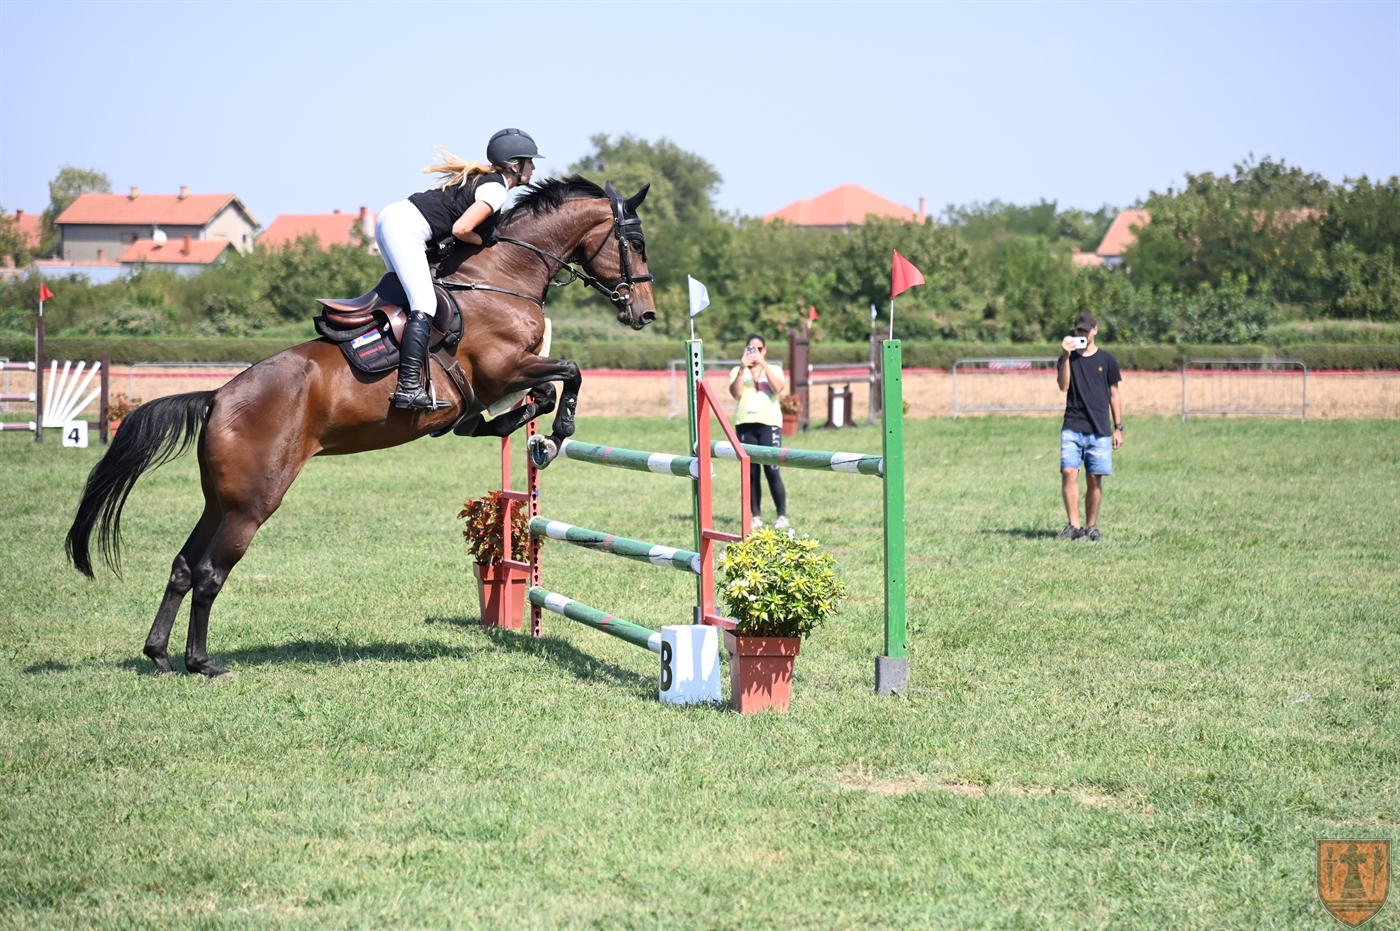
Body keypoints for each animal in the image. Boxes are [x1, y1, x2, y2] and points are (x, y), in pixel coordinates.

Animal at [65, 175, 656, 677]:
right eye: (637, 242)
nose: (645, 315)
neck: (500, 280)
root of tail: (217, 397)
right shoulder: (504, 369)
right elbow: (568, 374)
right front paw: (555, 436)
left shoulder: (499, 383)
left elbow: (532, 398)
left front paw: (530, 433)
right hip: (253, 503)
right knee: (210, 574)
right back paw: (203, 663)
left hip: (221, 501)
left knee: (184, 567)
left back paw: (161, 655)